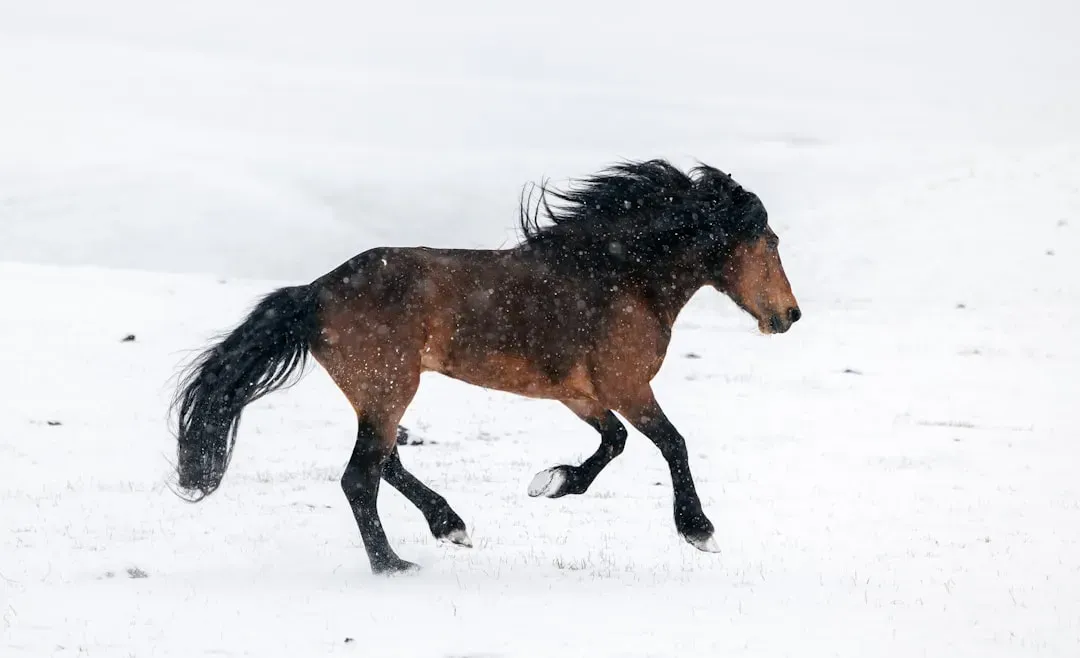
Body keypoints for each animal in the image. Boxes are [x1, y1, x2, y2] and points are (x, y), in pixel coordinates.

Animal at [171, 159, 801, 575]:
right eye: (770, 241)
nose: (790, 316)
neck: (620, 277)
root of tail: (315, 293)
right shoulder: (628, 386)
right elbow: (672, 442)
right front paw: (700, 532)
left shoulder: (582, 393)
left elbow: (615, 442)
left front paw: (552, 483)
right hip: (391, 387)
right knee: (360, 477)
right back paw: (393, 564)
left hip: (379, 395)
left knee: (386, 462)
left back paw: (450, 526)